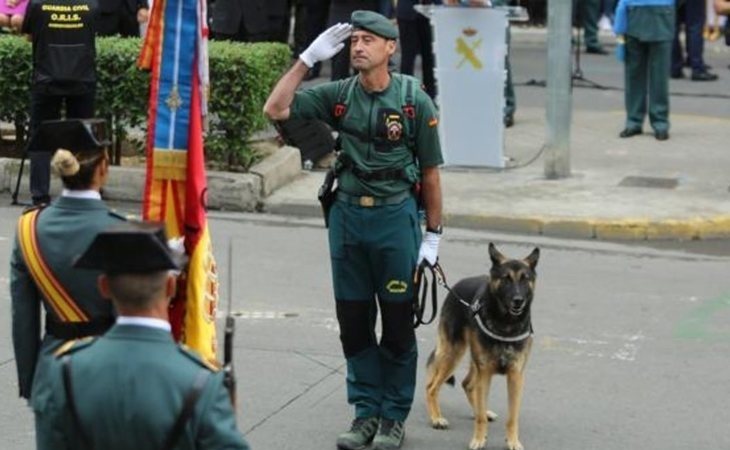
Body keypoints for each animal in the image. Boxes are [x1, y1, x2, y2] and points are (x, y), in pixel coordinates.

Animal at [424, 244, 536, 448]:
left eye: (525, 279)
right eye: (506, 279)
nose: (518, 300)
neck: (506, 324)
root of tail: (457, 286)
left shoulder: (515, 376)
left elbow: (512, 417)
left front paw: (513, 441)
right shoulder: (485, 373)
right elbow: (481, 418)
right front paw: (478, 438)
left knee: (467, 384)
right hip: (454, 354)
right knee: (432, 387)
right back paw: (437, 418)